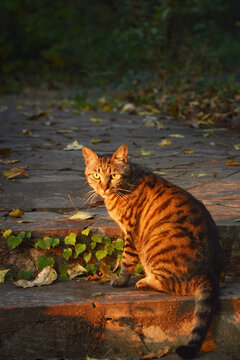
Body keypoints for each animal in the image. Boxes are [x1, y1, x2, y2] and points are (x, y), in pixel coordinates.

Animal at [82, 145, 223, 358]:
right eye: (96, 175)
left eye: (114, 175)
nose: (104, 188)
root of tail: (209, 273)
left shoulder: (132, 231)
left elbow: (127, 260)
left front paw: (121, 280)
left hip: (158, 240)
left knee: (176, 285)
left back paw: (145, 281)